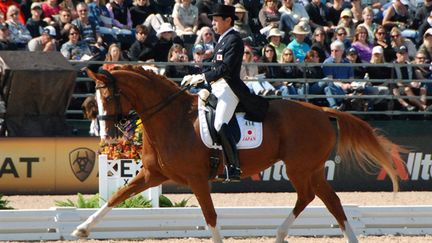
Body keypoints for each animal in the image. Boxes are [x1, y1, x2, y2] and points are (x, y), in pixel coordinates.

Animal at [72, 65, 404, 243]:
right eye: (94, 101)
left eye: (109, 97)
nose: (107, 136)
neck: (171, 118)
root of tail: (321, 111)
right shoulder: (152, 174)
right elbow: (116, 197)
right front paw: (82, 229)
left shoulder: (197, 179)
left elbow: (210, 216)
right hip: (309, 168)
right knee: (329, 200)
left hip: (299, 167)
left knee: (310, 197)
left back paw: (280, 233)